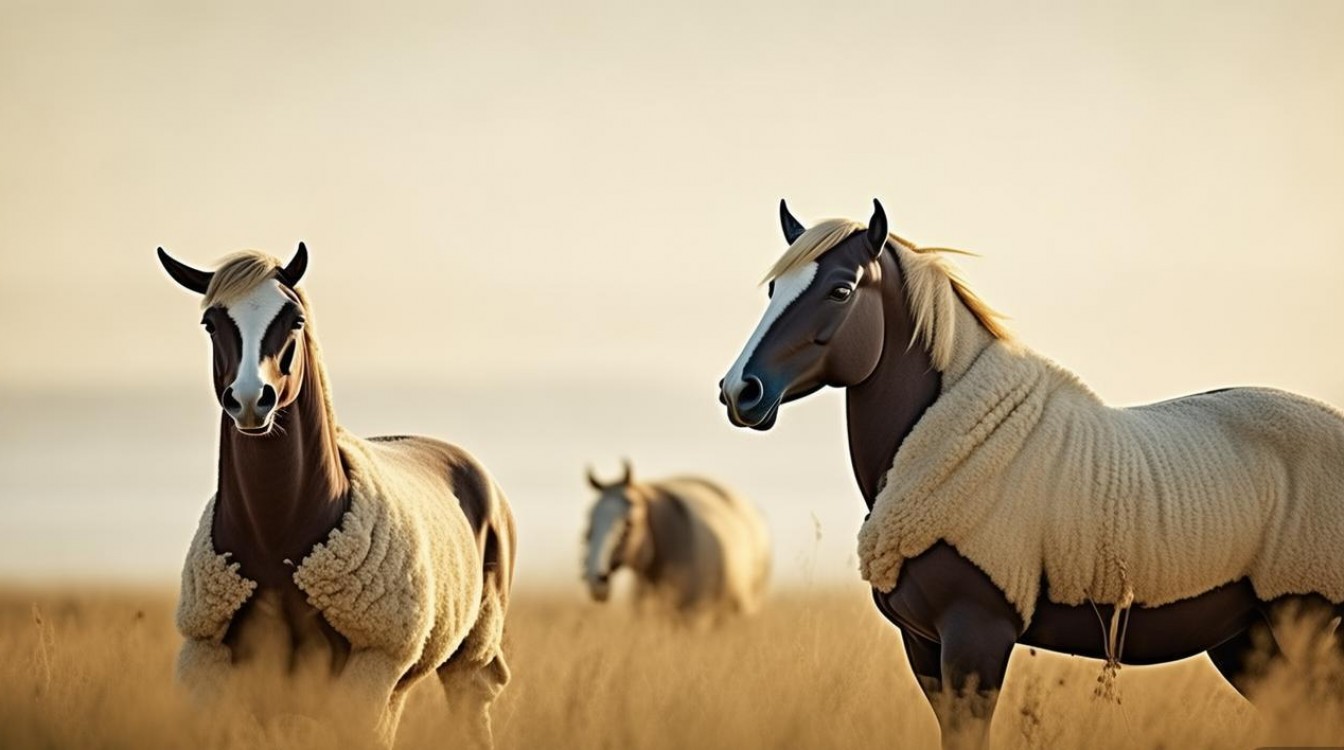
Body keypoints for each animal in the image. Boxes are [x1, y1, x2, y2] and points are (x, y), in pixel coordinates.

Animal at [158, 244, 515, 747]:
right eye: (211, 322)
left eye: (295, 319)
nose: (249, 400)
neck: (276, 539)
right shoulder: (222, 681)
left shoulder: (365, 673)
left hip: (467, 655)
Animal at [718, 200, 1344, 749]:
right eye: (774, 289)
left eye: (841, 289)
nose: (740, 390)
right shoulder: (924, 651)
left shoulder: (976, 642)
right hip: (1250, 645)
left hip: (1309, 630)